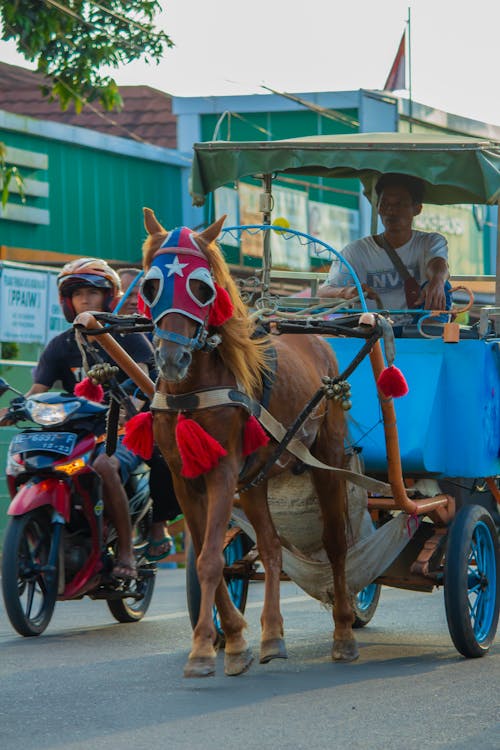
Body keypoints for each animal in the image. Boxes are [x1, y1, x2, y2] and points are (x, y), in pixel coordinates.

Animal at [142, 209, 360, 680]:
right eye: (150, 286)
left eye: (202, 287)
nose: (171, 358)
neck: (193, 386)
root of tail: (313, 334)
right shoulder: (184, 478)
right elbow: (212, 558)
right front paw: (235, 640)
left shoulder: (223, 471)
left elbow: (209, 559)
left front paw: (203, 650)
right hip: (256, 476)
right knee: (272, 546)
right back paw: (272, 635)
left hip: (326, 455)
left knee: (335, 544)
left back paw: (344, 632)